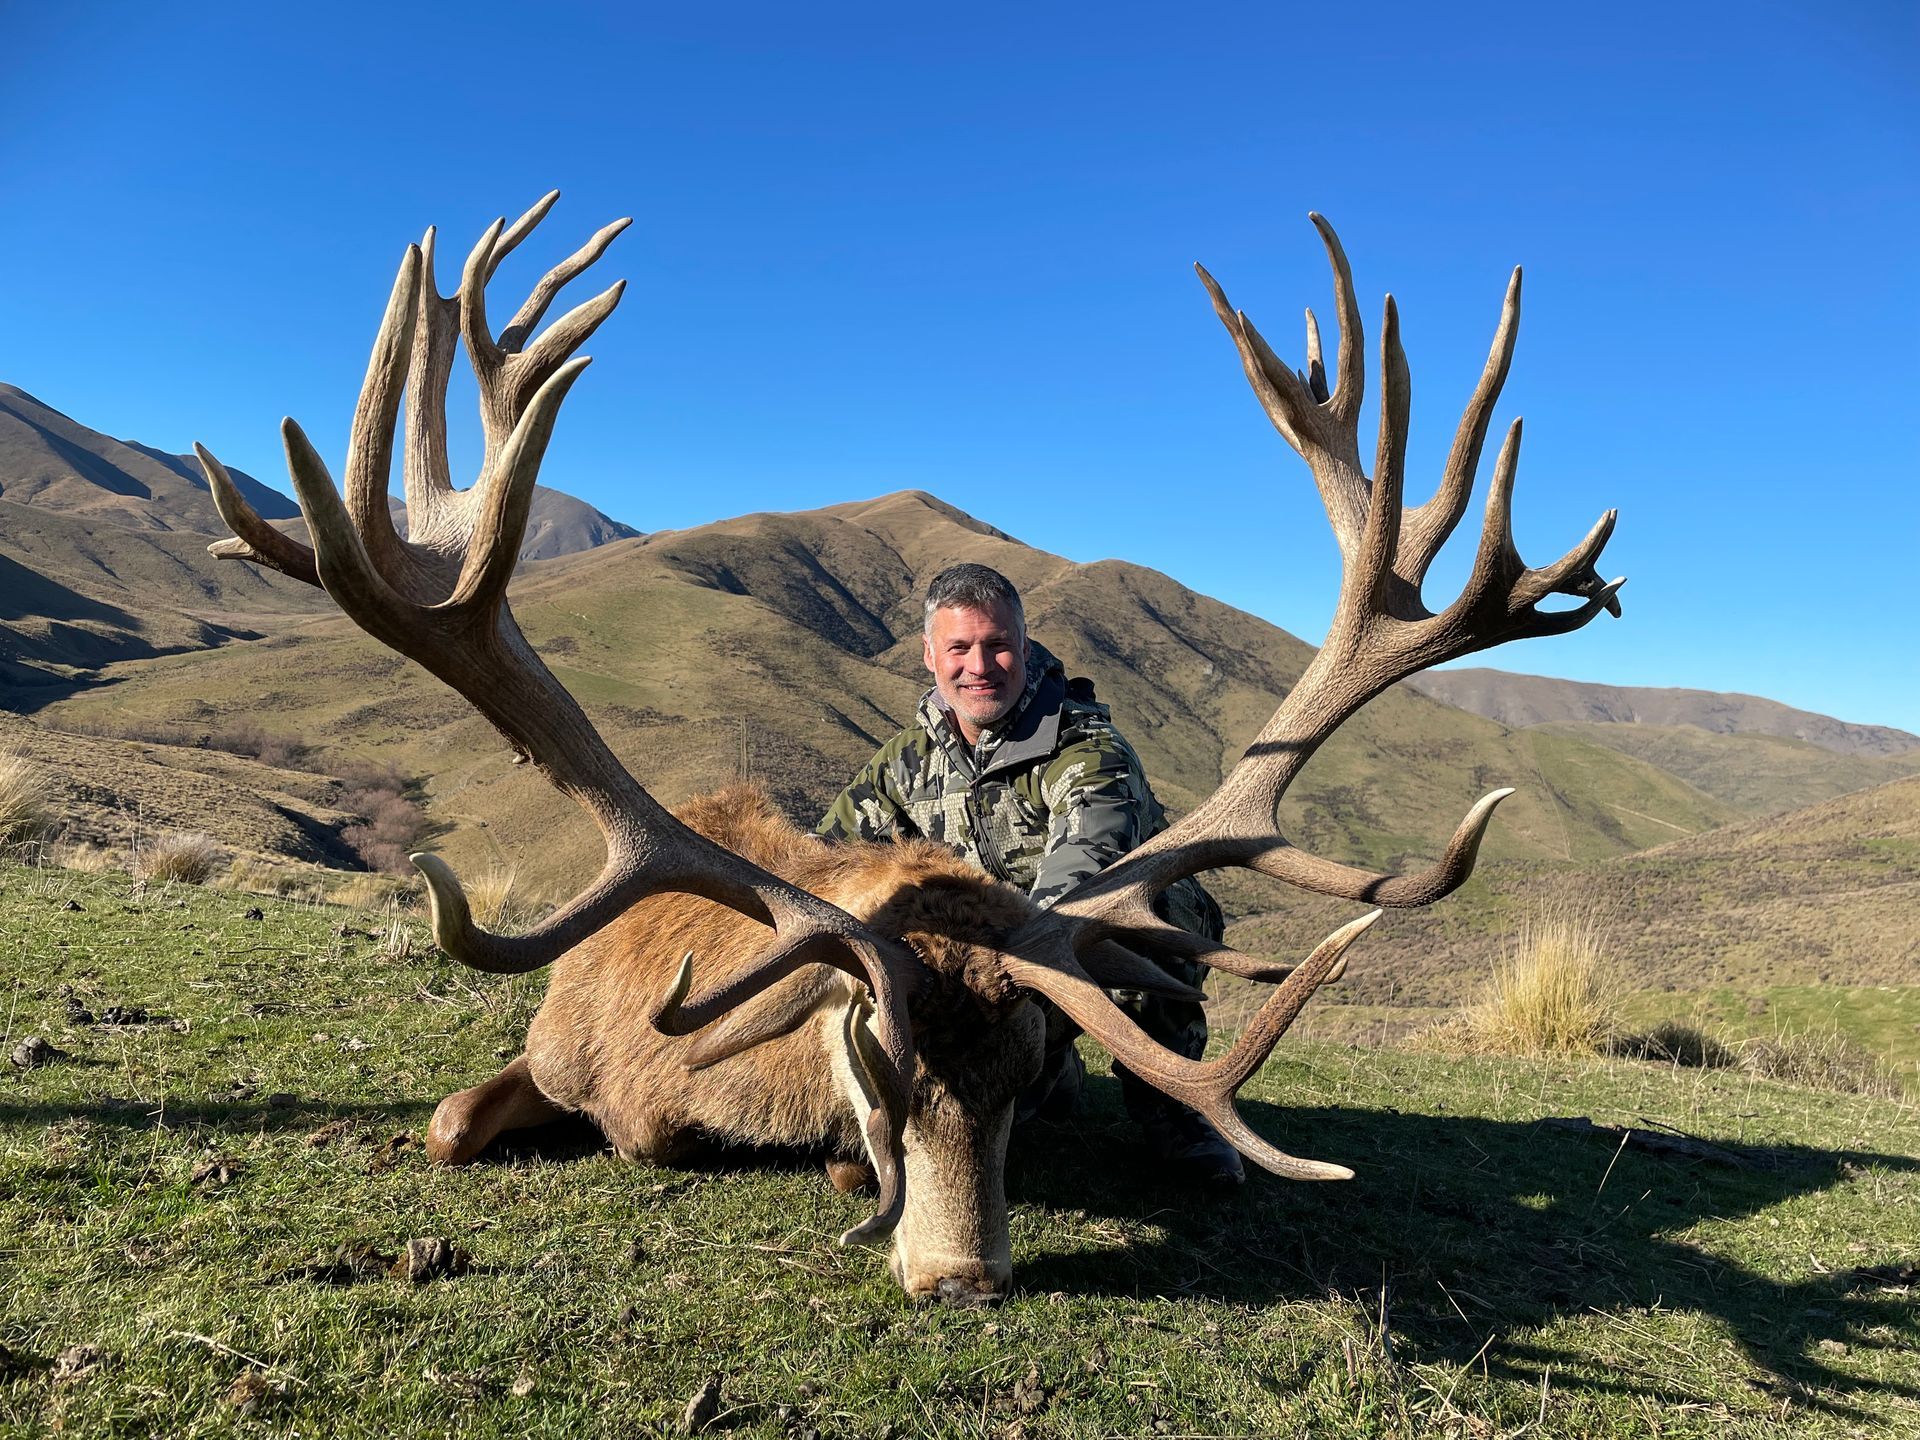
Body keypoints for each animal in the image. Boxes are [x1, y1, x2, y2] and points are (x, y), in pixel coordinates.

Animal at [197, 194, 1622, 1304]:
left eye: (1029, 1077)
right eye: (879, 1072)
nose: (963, 1278)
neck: (685, 1078)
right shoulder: (555, 1053)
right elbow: (444, 1125)